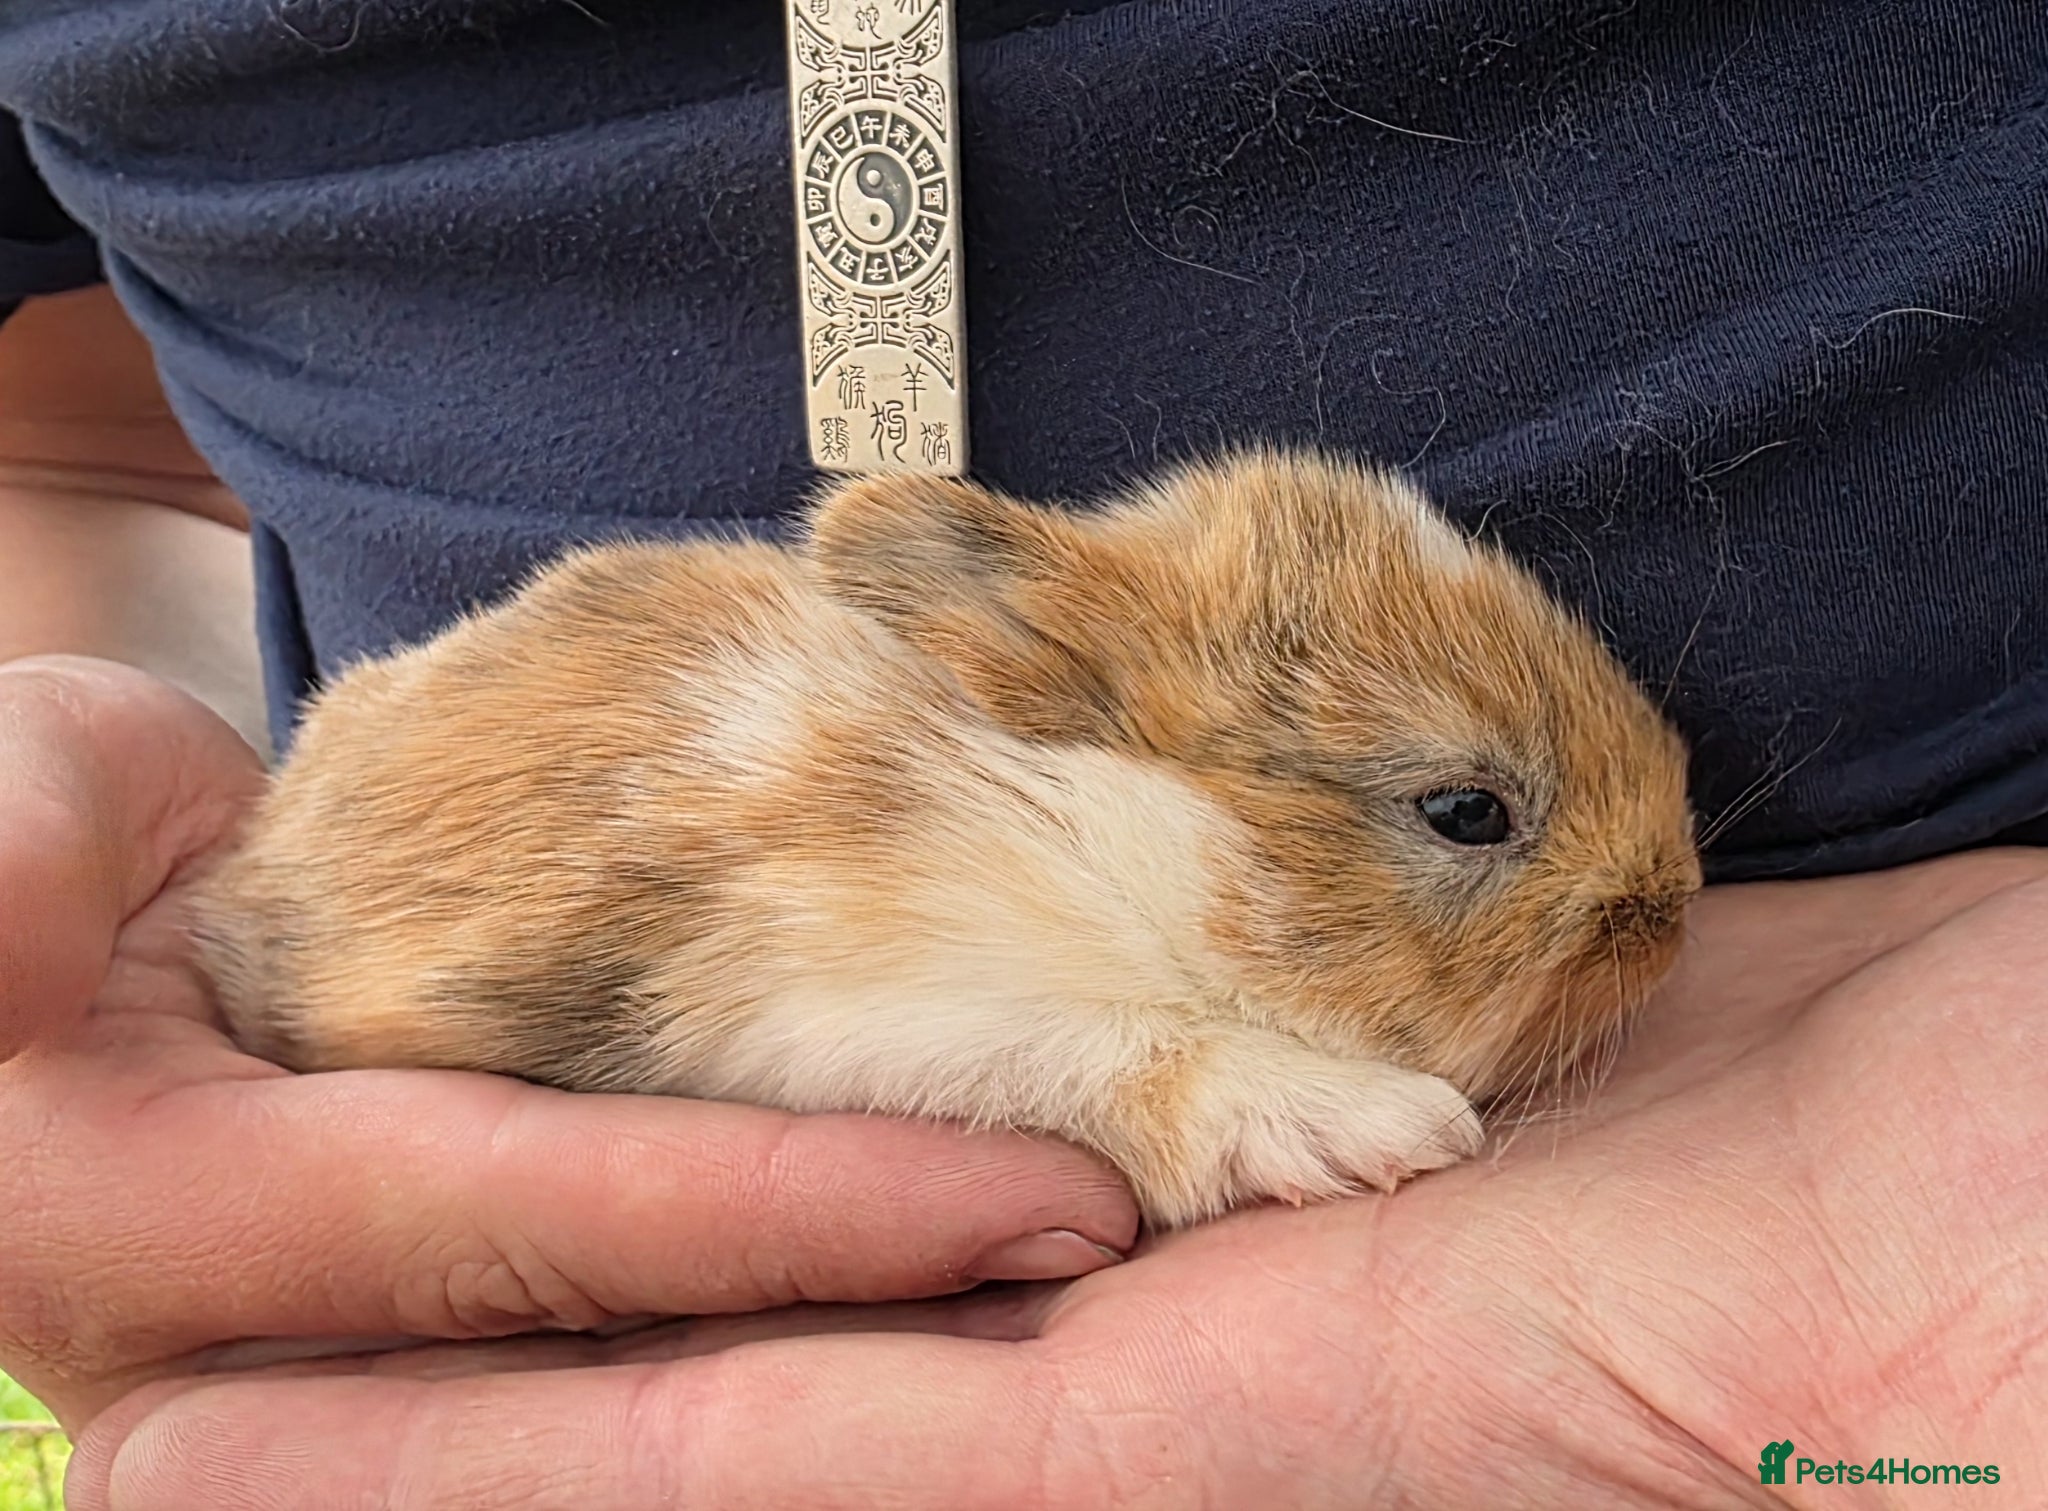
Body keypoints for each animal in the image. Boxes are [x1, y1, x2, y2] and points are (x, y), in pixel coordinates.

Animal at [192, 450, 1702, 1228]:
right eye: (1467, 810)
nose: (1673, 901)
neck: (1114, 844)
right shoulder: (871, 1000)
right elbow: (1142, 1050)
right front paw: (1377, 1128)